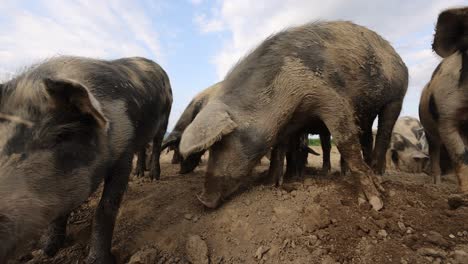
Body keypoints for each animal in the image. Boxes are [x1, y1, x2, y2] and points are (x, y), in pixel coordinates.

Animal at [0, 55, 173, 262]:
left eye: (62, 135)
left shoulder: (124, 151)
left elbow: (106, 208)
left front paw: (97, 260)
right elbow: (61, 210)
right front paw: (45, 251)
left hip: (165, 119)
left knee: (156, 145)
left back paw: (153, 177)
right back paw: (139, 175)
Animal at [180, 20, 410, 211]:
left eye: (222, 142)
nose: (203, 200)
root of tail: (398, 56)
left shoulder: (329, 98)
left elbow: (345, 141)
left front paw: (374, 202)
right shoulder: (290, 121)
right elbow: (279, 148)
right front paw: (269, 183)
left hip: (396, 97)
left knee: (384, 133)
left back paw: (378, 175)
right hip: (367, 113)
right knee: (368, 136)